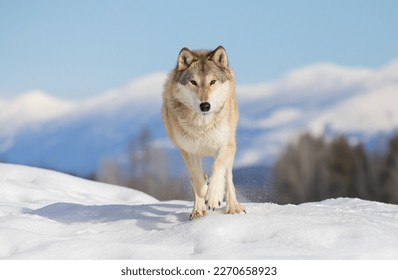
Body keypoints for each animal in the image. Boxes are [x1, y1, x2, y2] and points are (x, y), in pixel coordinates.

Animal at [162, 46, 246, 220]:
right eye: (193, 82)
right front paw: (205, 194)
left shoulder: (226, 145)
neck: (202, 125)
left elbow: (218, 168)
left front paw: (213, 196)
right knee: (196, 178)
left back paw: (233, 207)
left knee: (228, 177)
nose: (205, 105)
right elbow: (197, 181)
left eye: (212, 82)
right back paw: (198, 211)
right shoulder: (188, 150)